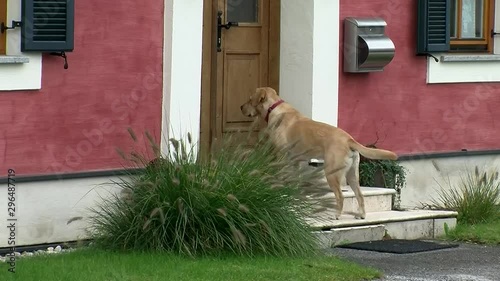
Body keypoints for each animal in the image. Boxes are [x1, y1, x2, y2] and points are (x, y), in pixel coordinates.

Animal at [239, 86, 398, 218]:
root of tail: (349, 139)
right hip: (352, 174)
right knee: (360, 195)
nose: (240, 107)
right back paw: (362, 215)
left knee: (340, 196)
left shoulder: (281, 155)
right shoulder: (295, 160)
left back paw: (337, 215)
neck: (274, 108)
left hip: (332, 173)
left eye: (250, 99)